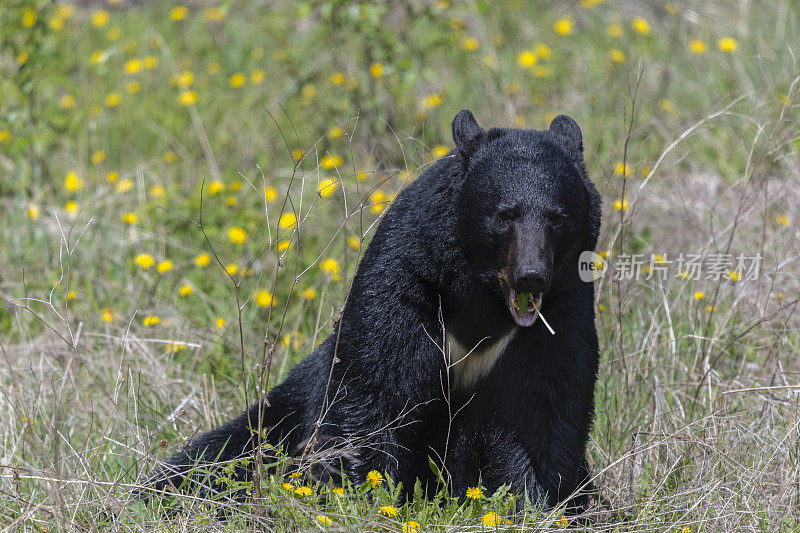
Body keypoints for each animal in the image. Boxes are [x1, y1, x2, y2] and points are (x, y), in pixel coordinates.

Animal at [150, 109, 600, 512]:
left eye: (557, 218)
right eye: (504, 215)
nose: (531, 276)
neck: (484, 299)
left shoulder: (561, 311)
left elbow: (544, 411)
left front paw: (538, 505)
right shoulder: (408, 282)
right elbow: (376, 388)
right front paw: (368, 494)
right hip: (281, 413)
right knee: (219, 456)